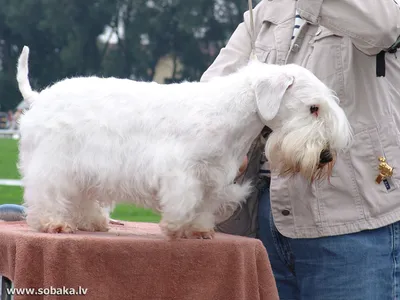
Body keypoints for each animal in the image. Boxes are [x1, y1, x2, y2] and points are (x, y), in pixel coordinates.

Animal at [14, 46, 352, 239]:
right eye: (313, 107)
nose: (326, 155)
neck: (230, 112)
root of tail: (39, 97)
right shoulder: (183, 172)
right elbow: (185, 200)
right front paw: (176, 227)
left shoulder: (214, 176)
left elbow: (204, 205)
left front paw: (199, 230)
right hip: (54, 164)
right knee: (48, 194)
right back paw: (54, 224)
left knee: (81, 197)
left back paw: (92, 222)